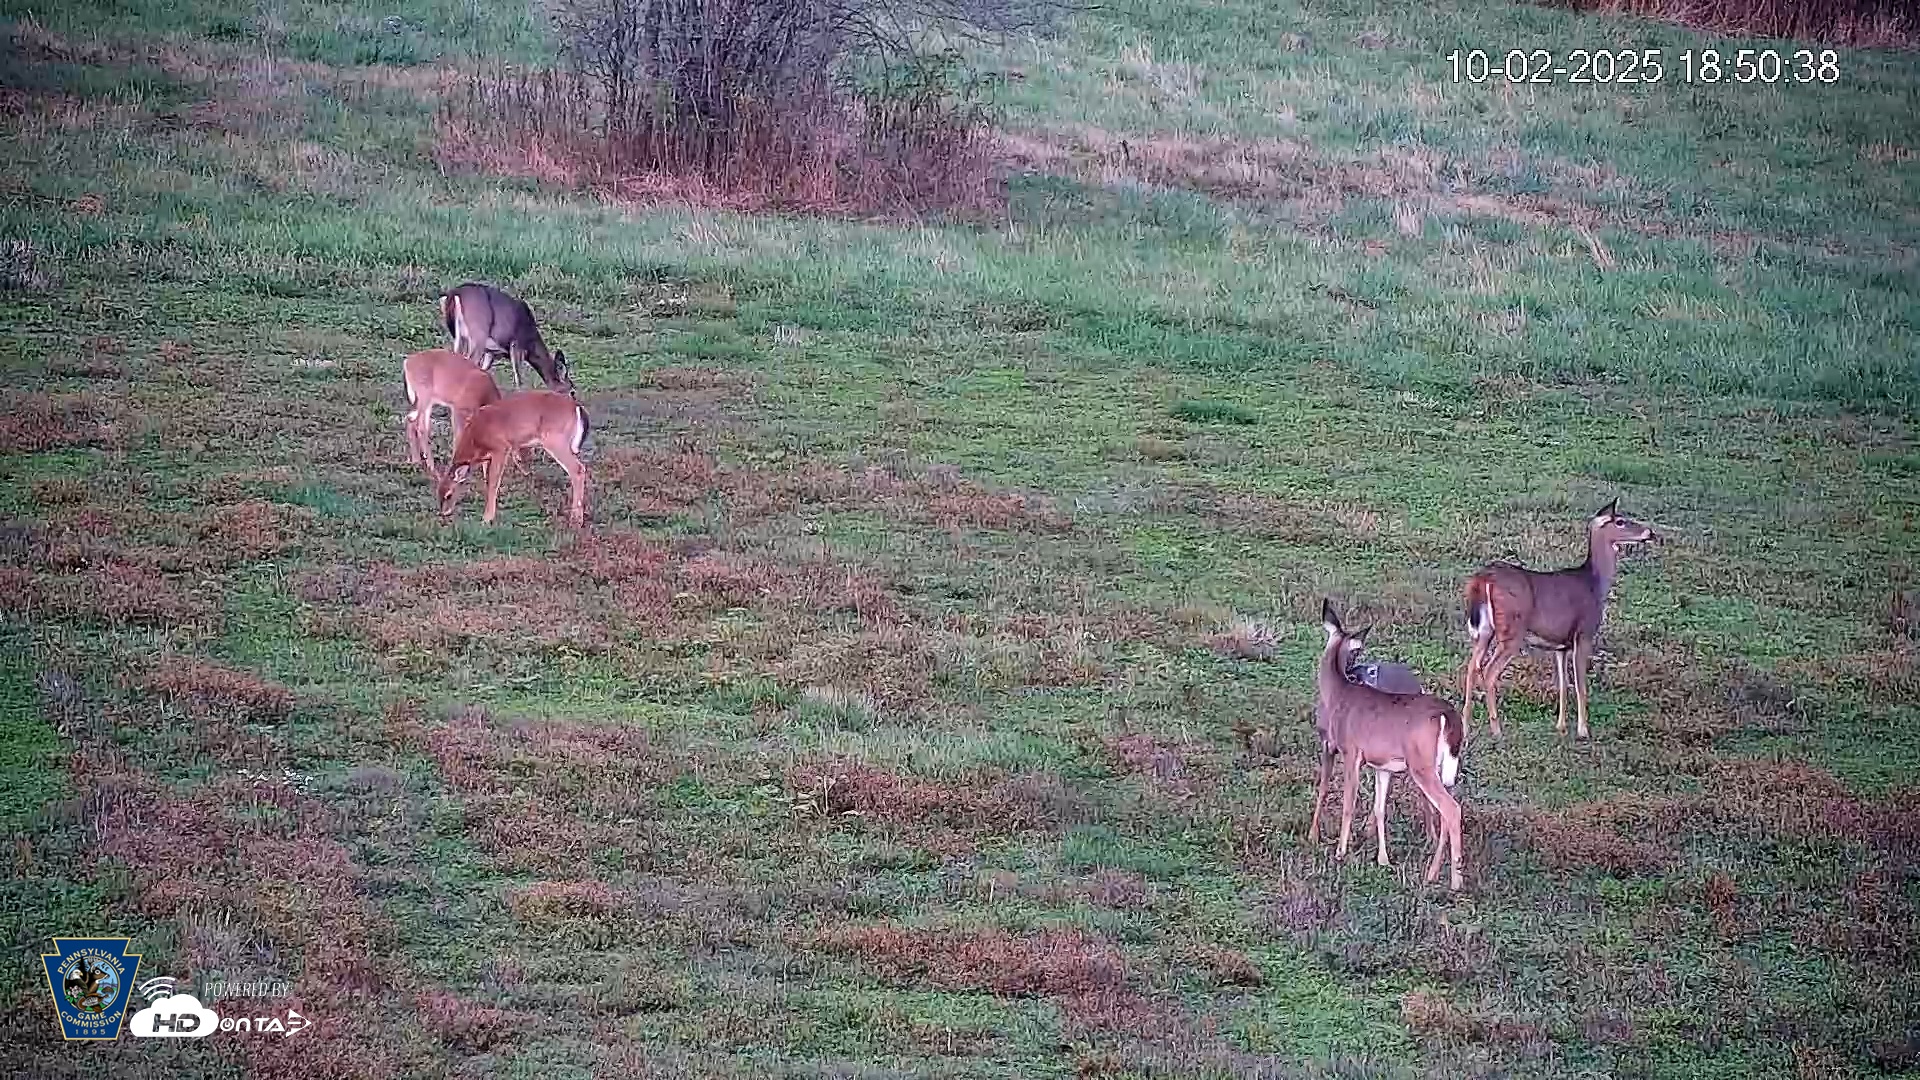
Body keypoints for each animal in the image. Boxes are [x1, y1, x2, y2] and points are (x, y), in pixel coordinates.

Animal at [436, 390, 591, 528]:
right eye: (438, 493)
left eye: (449, 495)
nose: (444, 513)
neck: (476, 437)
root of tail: (576, 407)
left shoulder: (501, 448)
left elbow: (493, 483)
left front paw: (487, 518)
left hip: (555, 440)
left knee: (578, 469)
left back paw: (576, 521)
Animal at [441, 282, 574, 395]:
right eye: (572, 392)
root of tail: (456, 293)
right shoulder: (516, 345)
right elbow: (518, 379)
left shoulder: (491, 352)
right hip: (478, 334)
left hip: (459, 336)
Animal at [1307, 599, 1466, 891]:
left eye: (1357, 652)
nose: (1354, 670)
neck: (1338, 694)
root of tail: (1448, 716)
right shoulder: (1382, 766)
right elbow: (1379, 808)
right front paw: (1383, 859)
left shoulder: (1351, 751)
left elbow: (1348, 802)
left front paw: (1340, 851)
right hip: (1439, 768)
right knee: (1446, 811)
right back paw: (1432, 874)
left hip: (1421, 765)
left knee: (1451, 809)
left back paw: (1455, 880)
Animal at [1460, 498, 1659, 741]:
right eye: (1620, 521)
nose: (1649, 532)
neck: (1595, 585)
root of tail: (1482, 579)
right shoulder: (1584, 633)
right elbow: (1580, 684)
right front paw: (1583, 730)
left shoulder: (1560, 645)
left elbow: (1563, 683)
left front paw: (1561, 726)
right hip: (1511, 631)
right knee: (1488, 672)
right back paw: (1497, 730)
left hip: (1485, 631)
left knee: (1471, 667)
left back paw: (1466, 727)